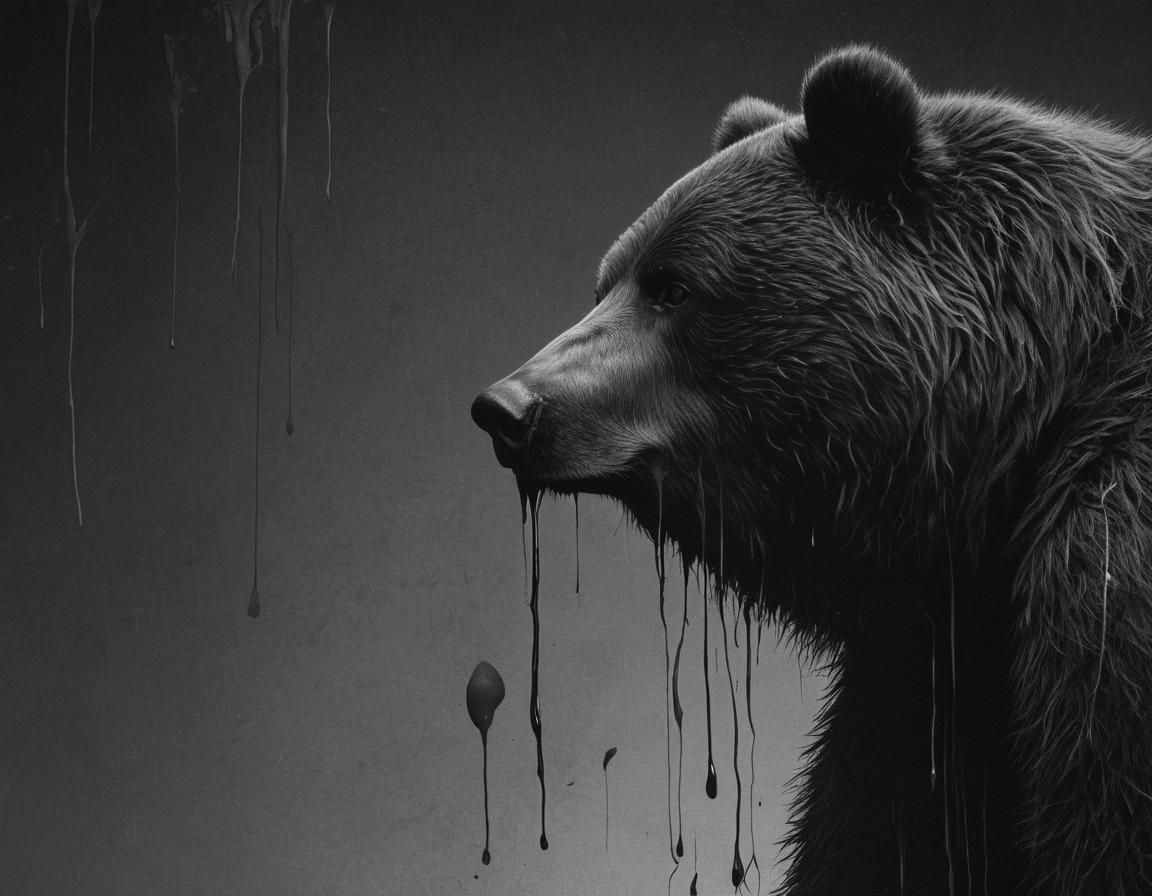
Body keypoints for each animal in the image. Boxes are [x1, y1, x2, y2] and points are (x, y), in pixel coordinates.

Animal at [471, 46, 1152, 895]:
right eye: (605, 283)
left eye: (673, 286)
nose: (508, 406)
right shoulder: (934, 653)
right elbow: (875, 826)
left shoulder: (1106, 578)